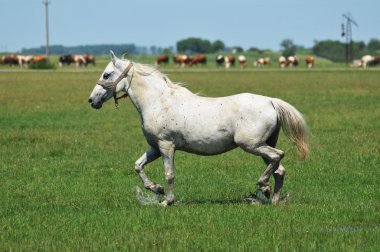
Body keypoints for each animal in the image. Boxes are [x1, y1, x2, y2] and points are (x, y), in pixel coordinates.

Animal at [88, 50, 308, 205]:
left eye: (106, 75)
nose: (92, 101)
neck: (157, 102)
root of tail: (271, 101)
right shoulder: (155, 147)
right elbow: (138, 166)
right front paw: (156, 189)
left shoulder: (166, 146)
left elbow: (169, 174)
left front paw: (167, 201)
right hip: (262, 145)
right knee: (279, 169)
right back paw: (273, 198)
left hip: (252, 145)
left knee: (278, 157)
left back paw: (263, 186)